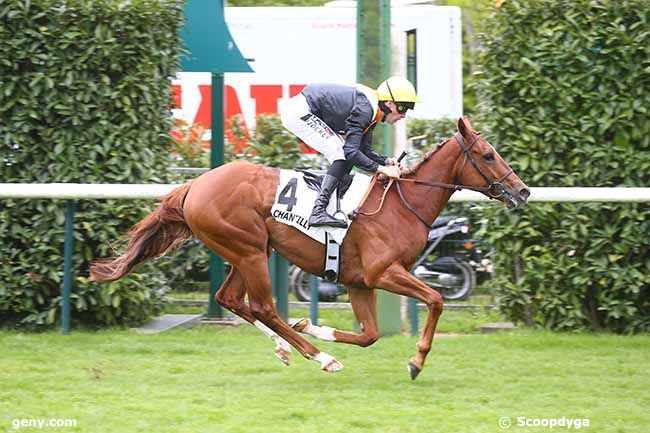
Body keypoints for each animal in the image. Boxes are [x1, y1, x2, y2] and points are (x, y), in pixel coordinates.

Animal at [90, 117, 528, 378]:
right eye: (488, 155)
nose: (523, 191)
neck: (402, 206)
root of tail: (194, 184)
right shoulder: (383, 273)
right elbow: (435, 299)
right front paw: (416, 361)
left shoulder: (359, 283)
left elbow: (369, 335)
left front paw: (315, 325)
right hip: (249, 250)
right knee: (262, 306)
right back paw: (319, 356)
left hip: (248, 251)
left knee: (231, 299)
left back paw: (288, 346)